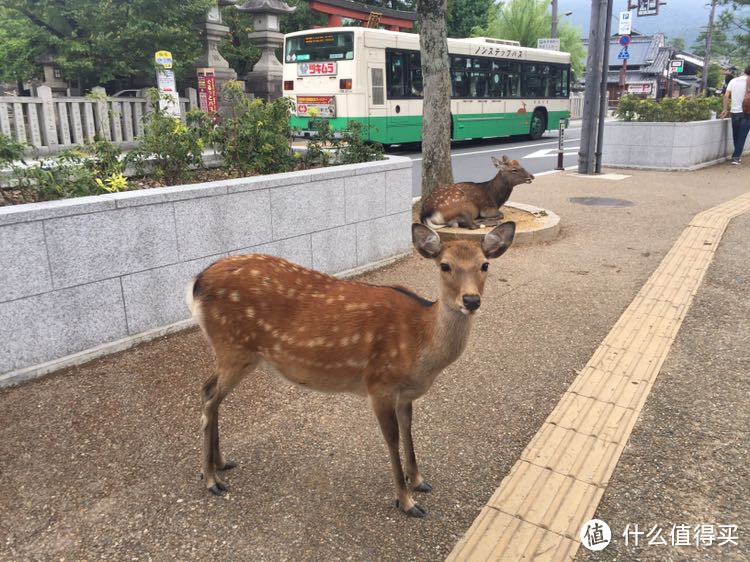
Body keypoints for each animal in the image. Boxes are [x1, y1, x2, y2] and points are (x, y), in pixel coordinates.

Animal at [188, 220, 516, 516]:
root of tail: (196, 283)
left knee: (208, 390)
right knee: (209, 398)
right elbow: (392, 438)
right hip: (232, 347)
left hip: (239, 354)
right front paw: (406, 501)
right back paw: (211, 479)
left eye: (485, 264)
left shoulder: (405, 393)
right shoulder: (379, 383)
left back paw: (220, 462)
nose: (471, 300)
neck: (421, 348)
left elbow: (409, 430)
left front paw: (419, 480)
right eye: (445, 266)